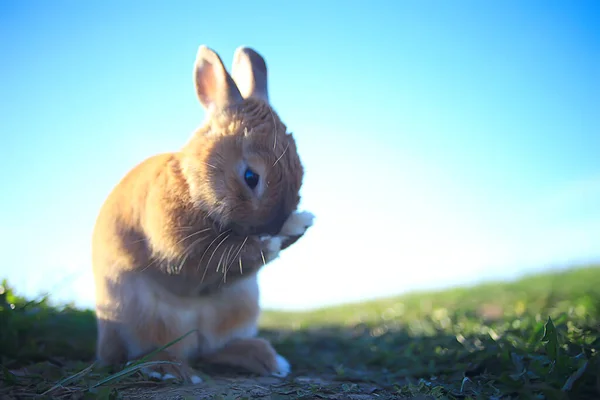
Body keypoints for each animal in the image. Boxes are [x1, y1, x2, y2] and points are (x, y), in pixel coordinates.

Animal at [91, 44, 314, 384]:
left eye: (300, 173)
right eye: (251, 177)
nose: (274, 224)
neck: (193, 181)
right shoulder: (184, 250)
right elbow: (225, 257)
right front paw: (285, 233)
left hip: (239, 307)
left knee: (211, 350)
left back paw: (267, 360)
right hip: (141, 318)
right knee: (151, 352)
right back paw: (169, 370)